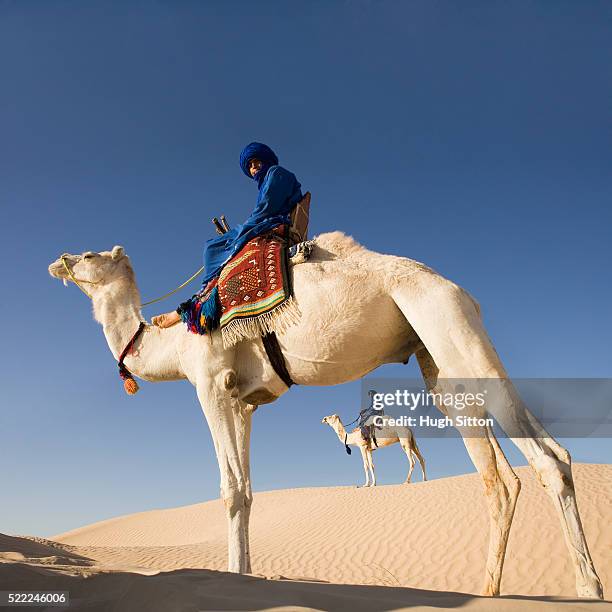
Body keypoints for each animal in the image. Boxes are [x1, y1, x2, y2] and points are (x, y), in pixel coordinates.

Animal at [47, 233, 604, 596]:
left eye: (90, 254)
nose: (58, 261)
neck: (169, 341)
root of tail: (460, 290)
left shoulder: (209, 382)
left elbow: (230, 489)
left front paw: (234, 577)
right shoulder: (244, 400)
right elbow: (248, 491)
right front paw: (246, 574)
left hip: (447, 322)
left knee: (543, 459)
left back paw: (585, 589)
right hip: (436, 357)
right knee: (510, 470)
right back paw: (497, 590)